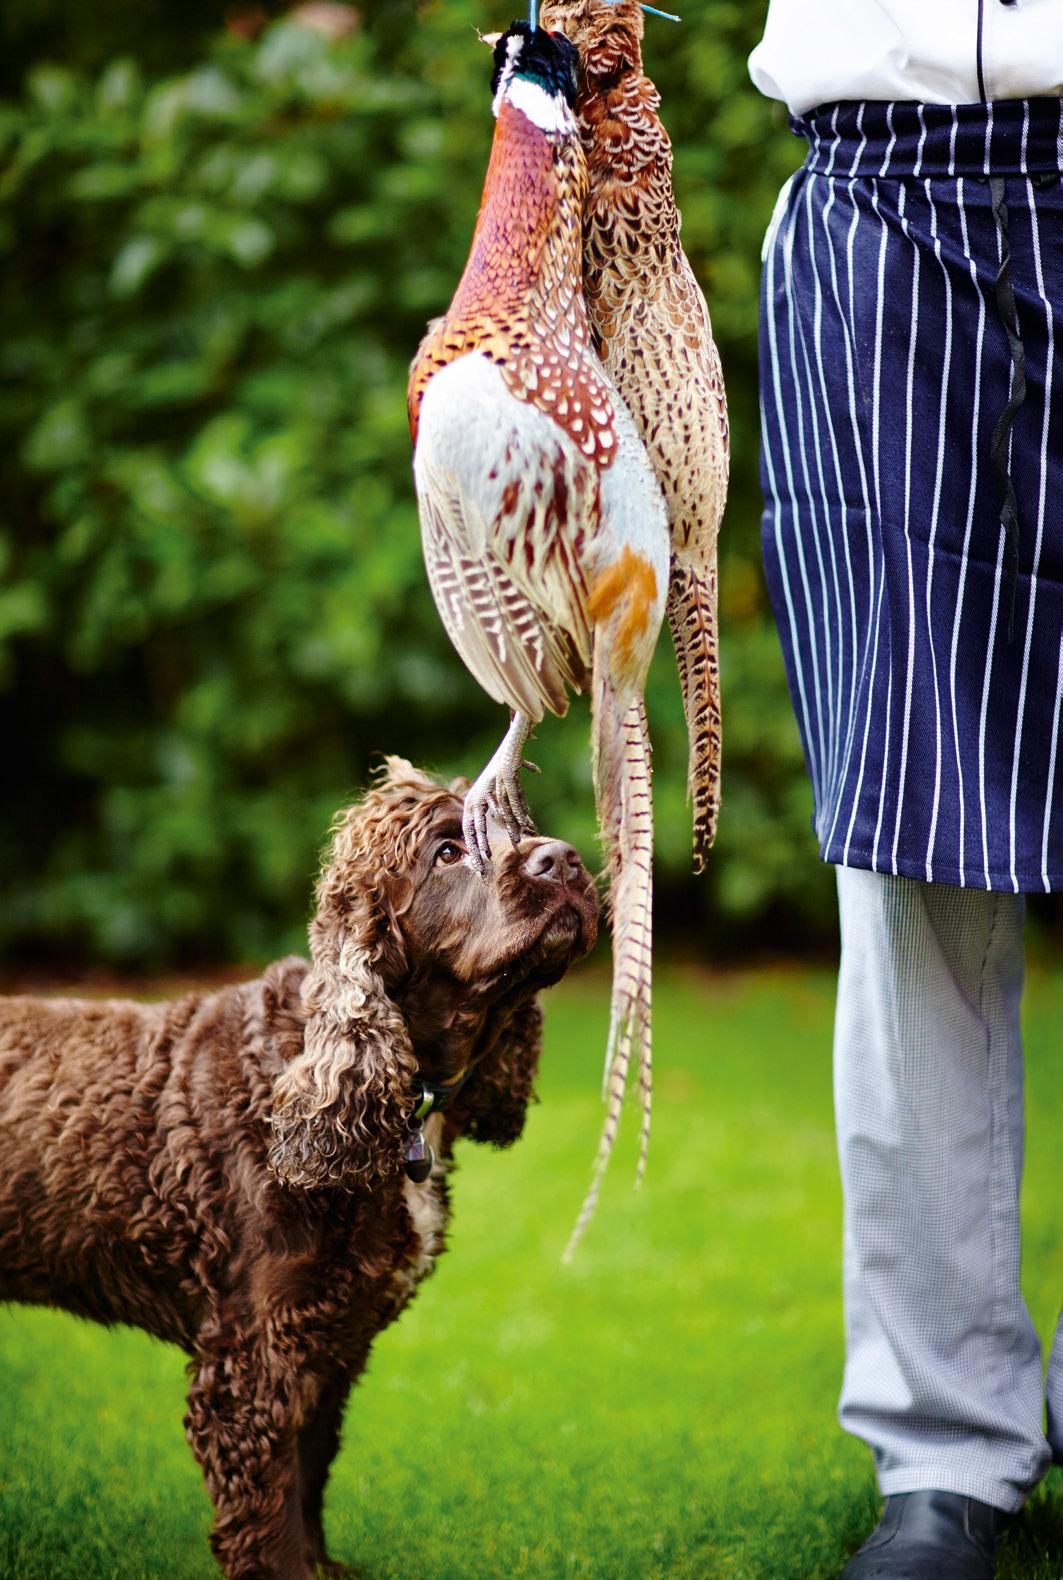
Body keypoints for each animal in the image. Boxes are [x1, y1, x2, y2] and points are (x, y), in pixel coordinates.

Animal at [0, 759, 598, 1579]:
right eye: (447, 851)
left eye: (524, 826)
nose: (566, 860)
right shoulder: (253, 1357)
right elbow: (270, 1507)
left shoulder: (331, 1335)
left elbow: (310, 1471)